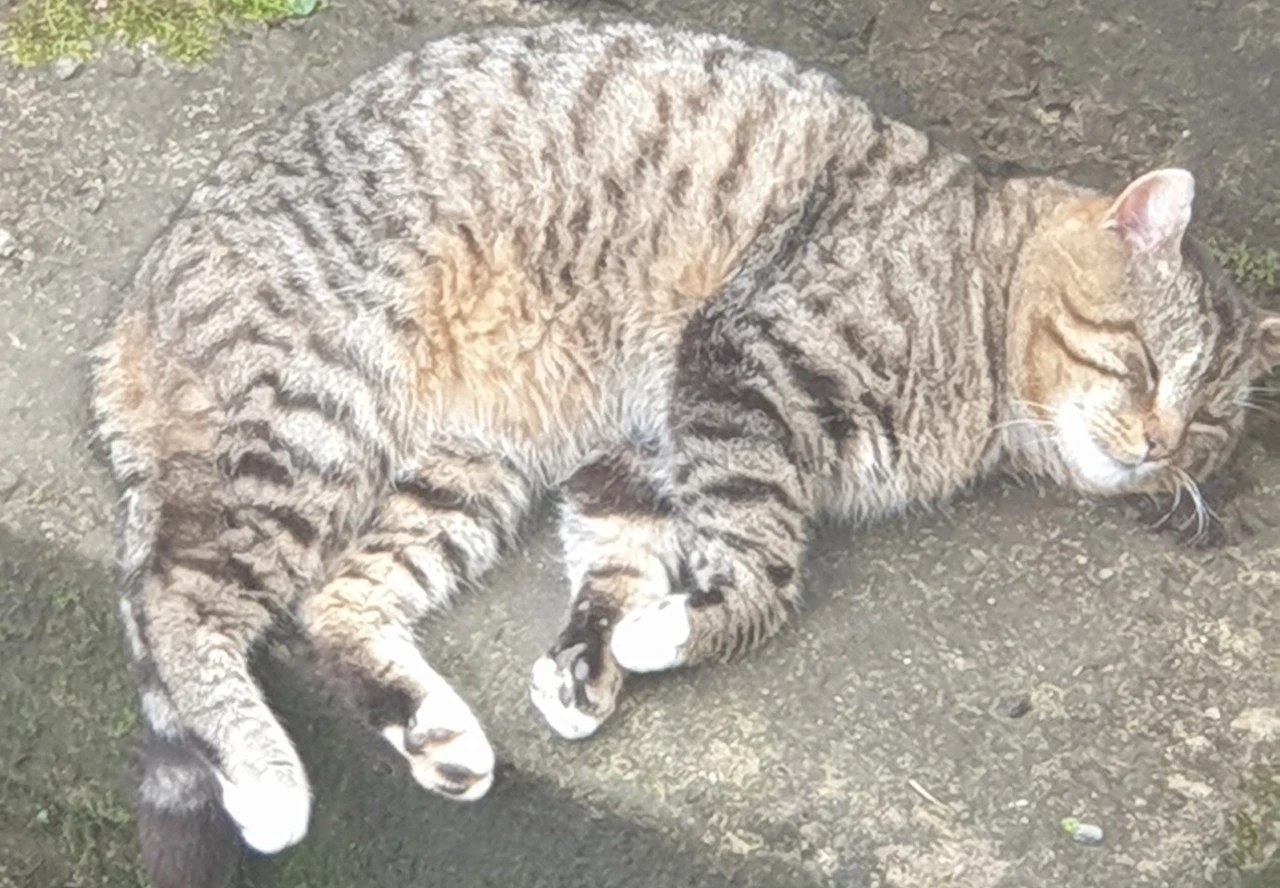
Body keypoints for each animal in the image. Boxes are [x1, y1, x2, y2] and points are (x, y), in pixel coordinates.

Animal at [89, 19, 1280, 888]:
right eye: (1145, 366)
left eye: (1211, 424)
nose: (1163, 447)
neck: (974, 284)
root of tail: (140, 295)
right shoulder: (741, 367)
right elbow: (765, 559)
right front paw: (682, 626)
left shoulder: (647, 447)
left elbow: (620, 557)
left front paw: (592, 657)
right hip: (315, 420)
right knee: (177, 599)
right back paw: (264, 776)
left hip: (465, 468)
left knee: (335, 598)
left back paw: (431, 729)